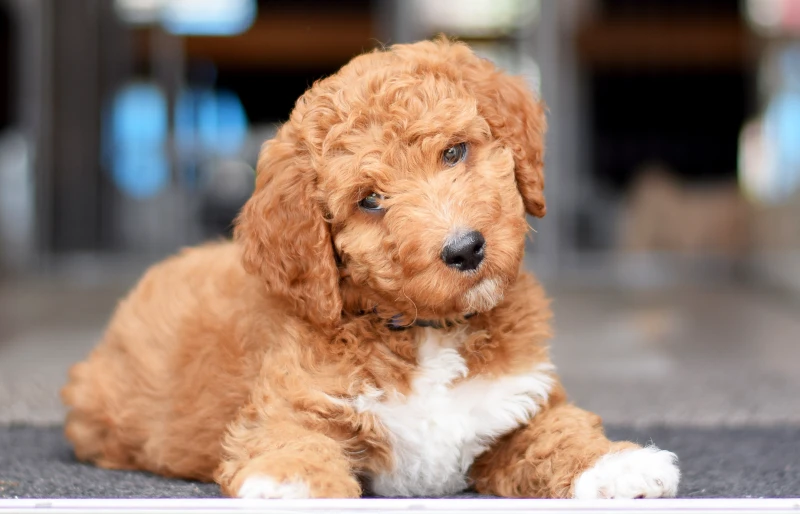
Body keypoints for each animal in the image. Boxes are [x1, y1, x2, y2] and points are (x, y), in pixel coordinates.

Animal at [61, 39, 680, 496]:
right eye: (371, 201)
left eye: (454, 152)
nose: (465, 250)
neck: (428, 331)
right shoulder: (289, 405)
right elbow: (291, 443)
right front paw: (290, 489)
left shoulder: (522, 401)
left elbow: (559, 431)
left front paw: (617, 467)